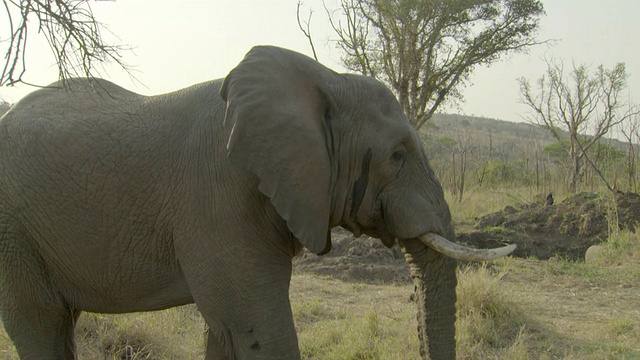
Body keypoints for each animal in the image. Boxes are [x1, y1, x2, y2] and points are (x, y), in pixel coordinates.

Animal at [0, 46, 512, 358]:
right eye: (398, 156)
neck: (323, 79)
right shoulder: (221, 197)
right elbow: (259, 329)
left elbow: (228, 331)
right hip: (12, 232)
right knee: (40, 323)